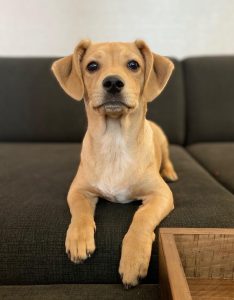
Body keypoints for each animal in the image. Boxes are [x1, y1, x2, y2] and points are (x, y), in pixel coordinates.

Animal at [52, 38, 178, 288]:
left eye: (133, 64)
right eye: (92, 66)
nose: (112, 82)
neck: (115, 142)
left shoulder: (161, 195)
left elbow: (141, 218)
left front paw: (133, 260)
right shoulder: (78, 190)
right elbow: (80, 211)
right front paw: (79, 238)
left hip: (163, 141)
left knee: (167, 160)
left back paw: (170, 172)